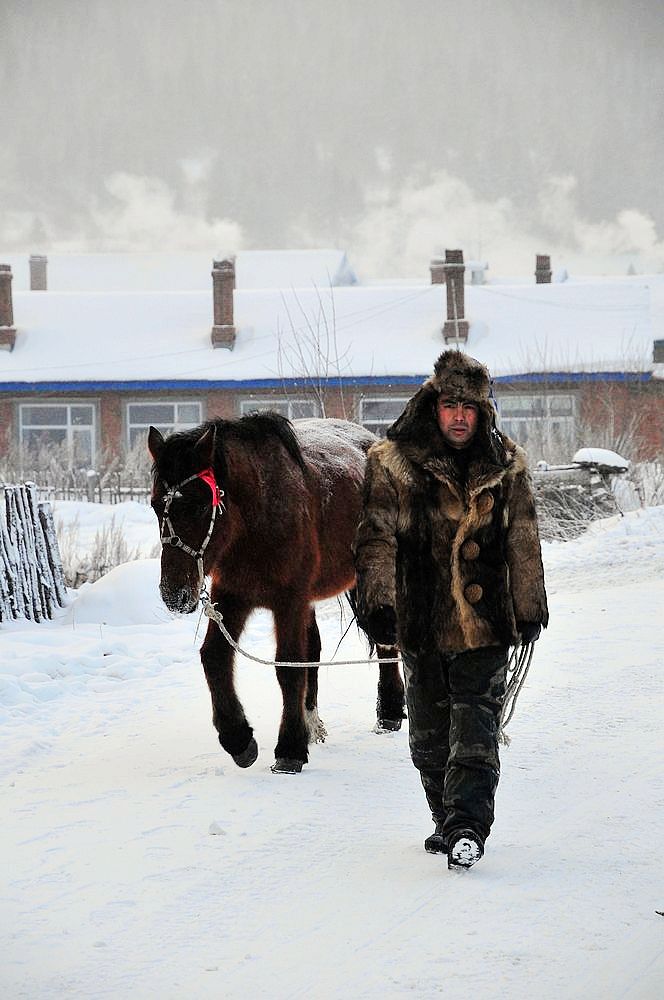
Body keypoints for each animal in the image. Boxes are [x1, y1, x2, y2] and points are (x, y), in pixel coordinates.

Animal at [148, 414, 404, 772]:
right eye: (156, 505)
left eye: (199, 507)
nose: (174, 594)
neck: (258, 520)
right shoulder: (233, 595)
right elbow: (215, 656)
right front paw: (239, 738)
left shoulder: (289, 602)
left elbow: (289, 665)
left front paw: (290, 748)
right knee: (318, 648)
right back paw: (314, 723)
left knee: (385, 636)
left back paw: (390, 712)